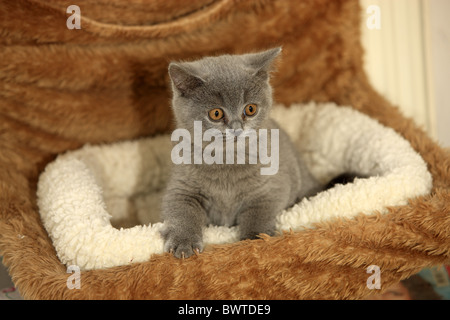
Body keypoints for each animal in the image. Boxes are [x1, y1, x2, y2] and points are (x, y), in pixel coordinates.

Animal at [160, 47, 322, 258]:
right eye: (216, 113)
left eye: (250, 109)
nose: (237, 128)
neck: (227, 160)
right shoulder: (181, 187)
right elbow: (182, 211)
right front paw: (183, 242)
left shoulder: (271, 188)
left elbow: (259, 214)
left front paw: (254, 242)